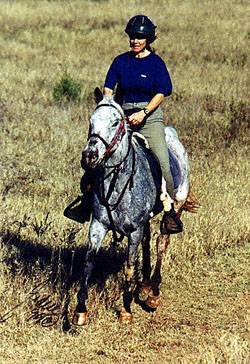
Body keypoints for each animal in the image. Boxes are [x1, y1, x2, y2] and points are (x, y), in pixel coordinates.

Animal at [73, 88, 199, 324]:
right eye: (91, 121)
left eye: (115, 122)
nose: (90, 156)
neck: (117, 181)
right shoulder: (98, 225)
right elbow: (88, 262)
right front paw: (80, 310)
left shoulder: (134, 230)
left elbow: (129, 266)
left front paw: (125, 309)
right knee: (148, 243)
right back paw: (145, 286)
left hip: (175, 206)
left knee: (161, 243)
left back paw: (153, 293)